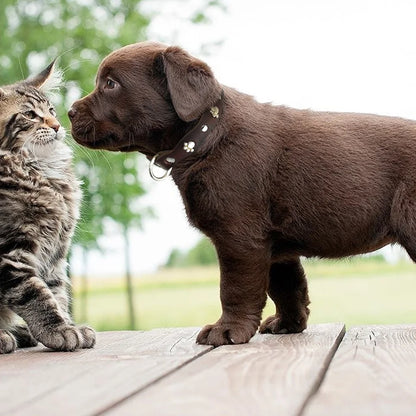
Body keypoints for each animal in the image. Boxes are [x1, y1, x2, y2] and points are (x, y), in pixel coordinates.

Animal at [0, 62, 95, 354]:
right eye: (30, 115)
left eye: (51, 110)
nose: (57, 125)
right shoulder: (11, 253)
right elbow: (35, 294)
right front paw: (58, 331)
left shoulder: (55, 253)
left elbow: (57, 293)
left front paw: (69, 326)